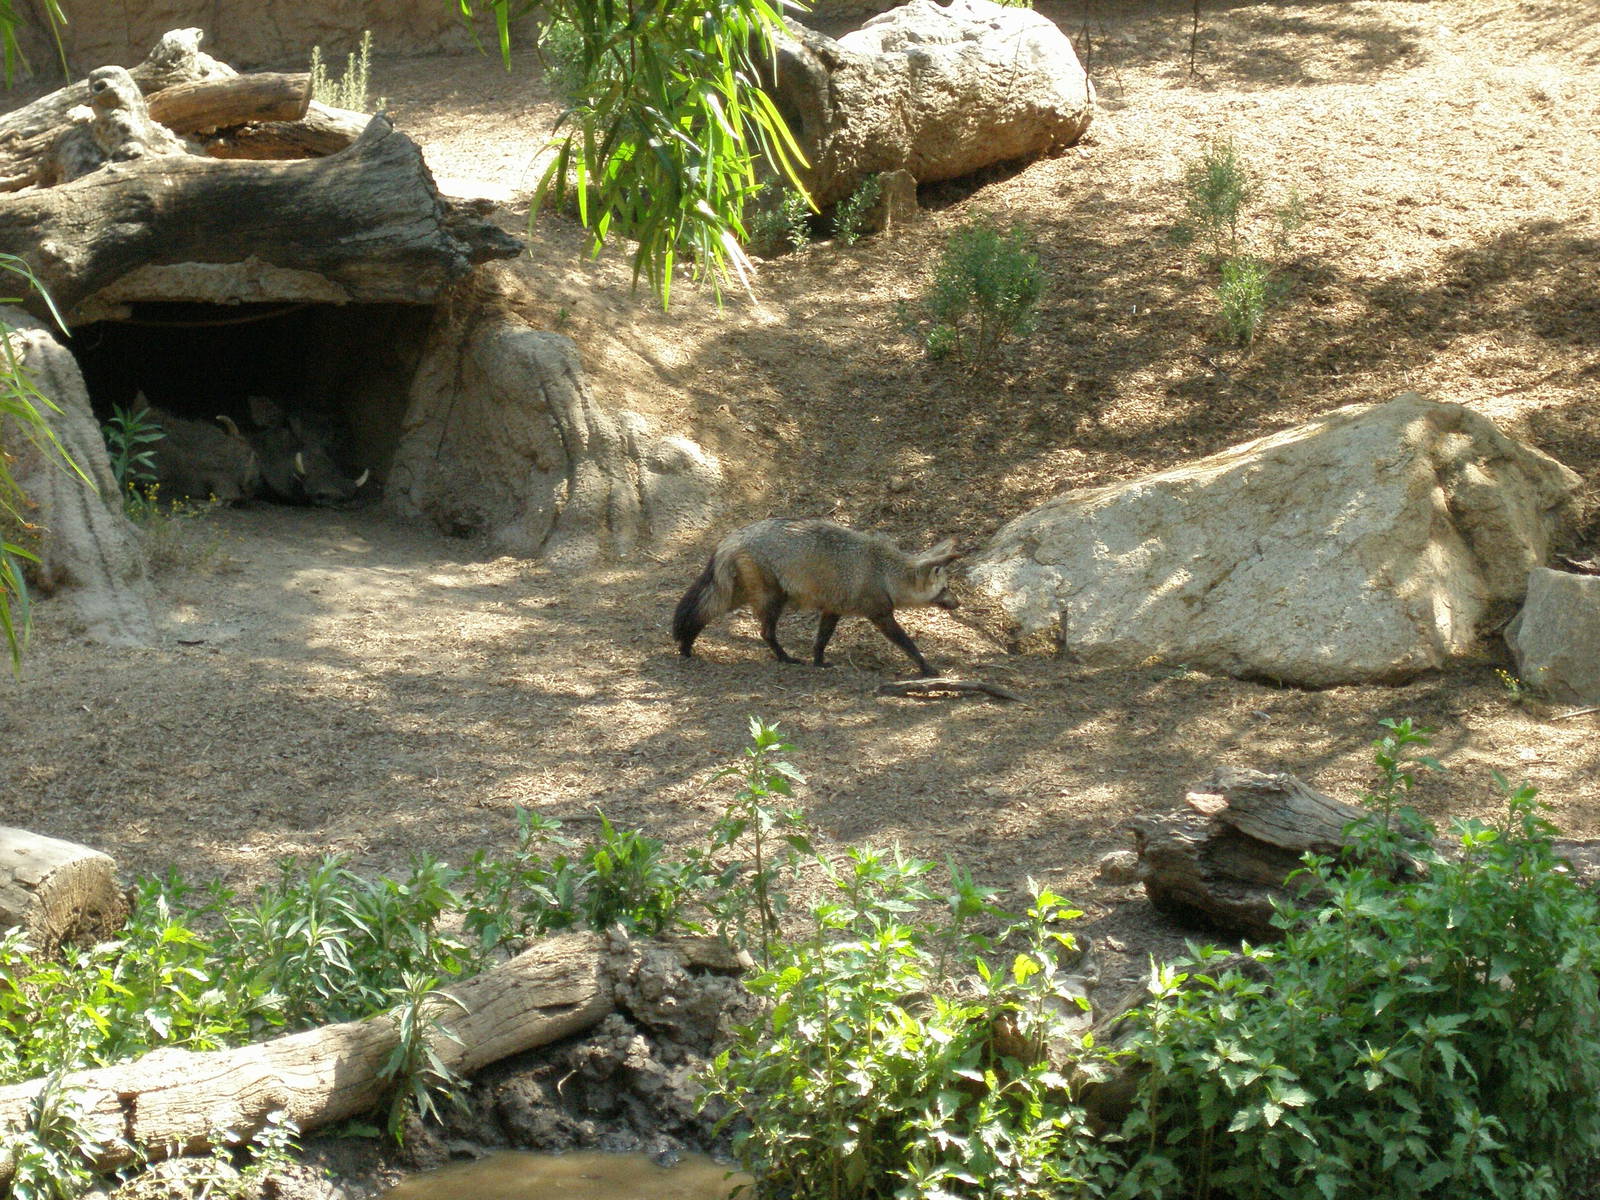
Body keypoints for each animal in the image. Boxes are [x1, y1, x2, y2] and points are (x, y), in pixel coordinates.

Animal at [672, 518, 962, 677]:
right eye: (945, 588)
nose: (958, 603)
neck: (884, 571)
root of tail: (732, 537)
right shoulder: (880, 616)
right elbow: (908, 644)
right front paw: (926, 668)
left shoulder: (832, 609)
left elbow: (821, 640)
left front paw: (819, 662)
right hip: (771, 600)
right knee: (765, 632)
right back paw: (784, 657)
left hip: (738, 596)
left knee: (702, 611)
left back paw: (686, 644)